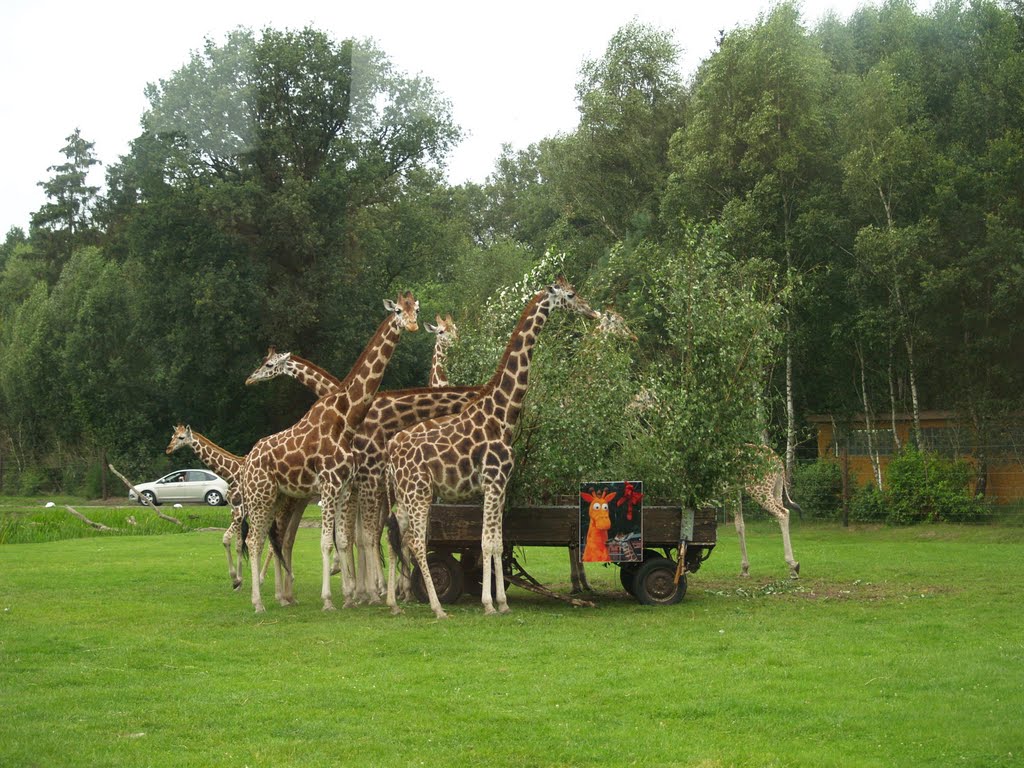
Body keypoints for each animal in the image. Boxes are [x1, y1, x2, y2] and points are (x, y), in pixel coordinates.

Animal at [237, 290, 417, 618]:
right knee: (255, 540)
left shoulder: (344, 488)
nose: (411, 325)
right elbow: (327, 542)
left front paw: (351, 595)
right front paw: (330, 598)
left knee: (269, 539)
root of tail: (247, 463)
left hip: (277, 497)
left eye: (416, 309)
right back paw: (259, 602)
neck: (345, 418)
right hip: (261, 495)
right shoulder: (331, 486)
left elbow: (343, 539)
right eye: (398, 310)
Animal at [385, 276, 598, 618]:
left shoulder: (501, 486)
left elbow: (498, 541)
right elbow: (485, 542)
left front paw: (502, 602)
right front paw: (488, 604)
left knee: (397, 540)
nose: (591, 311)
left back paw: (393, 603)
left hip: (405, 496)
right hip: (419, 492)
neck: (503, 414)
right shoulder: (492, 482)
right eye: (571, 294)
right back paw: (437, 607)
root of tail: (391, 450)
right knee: (416, 542)